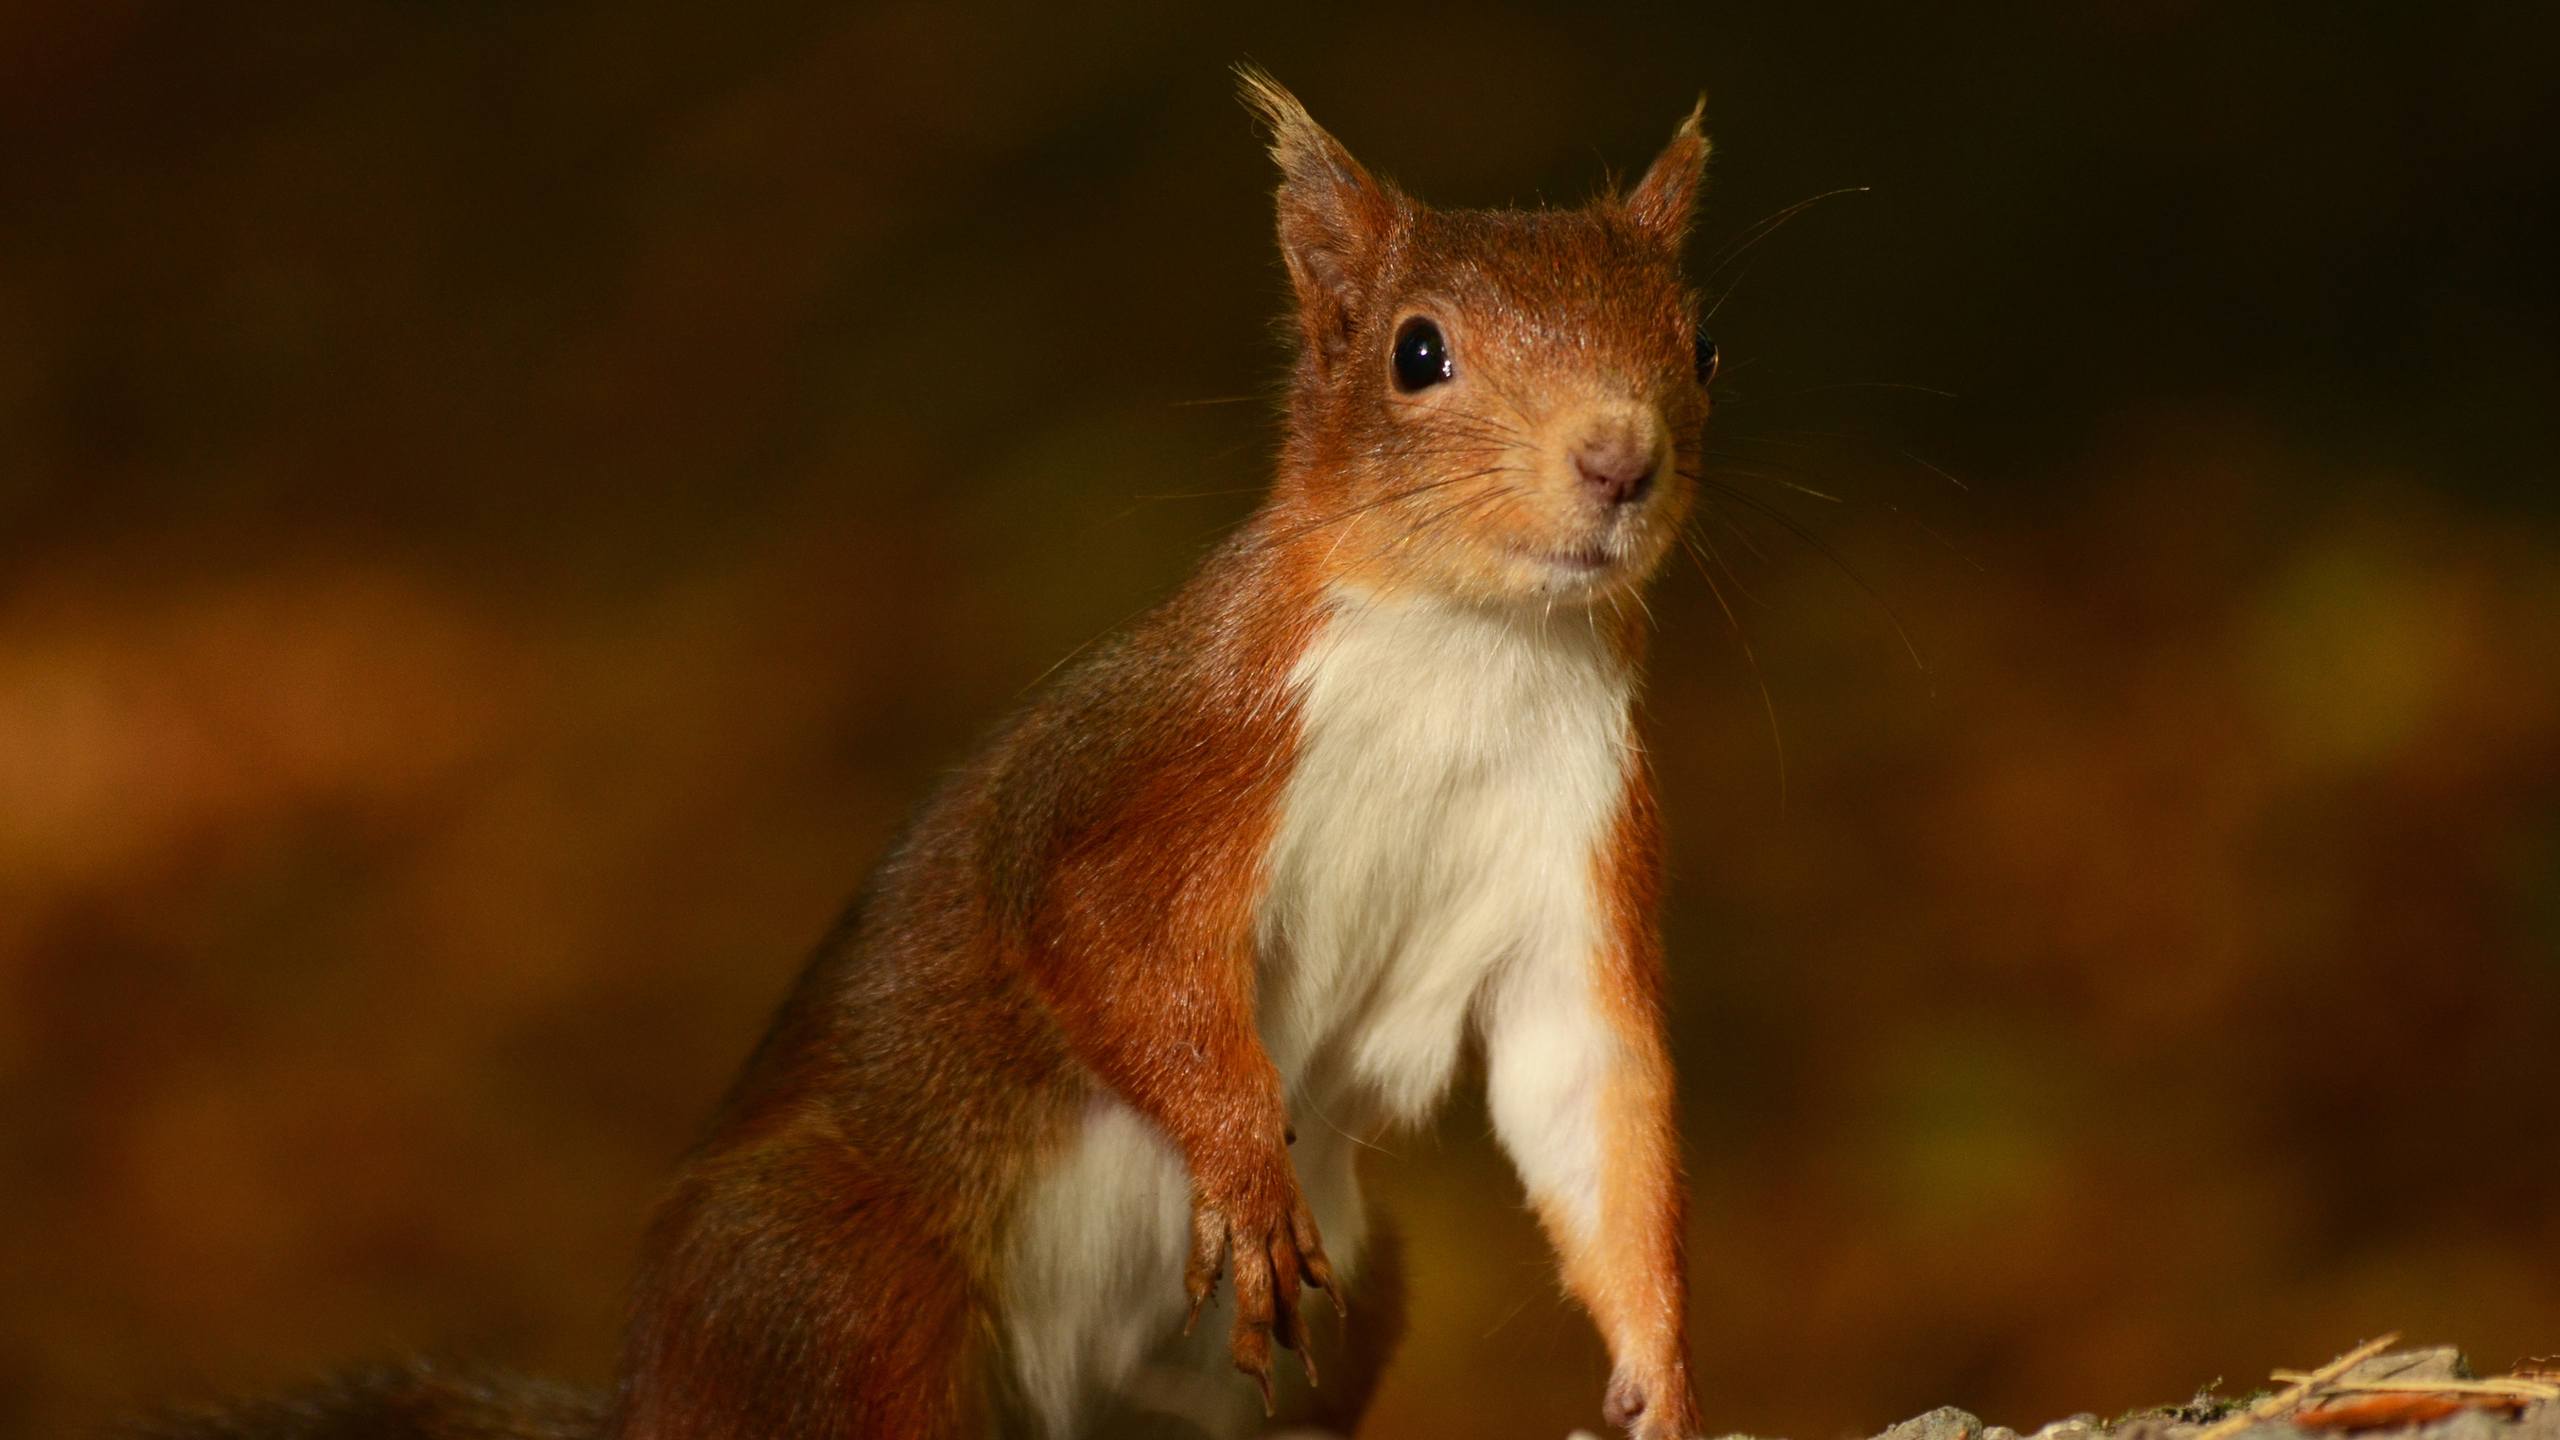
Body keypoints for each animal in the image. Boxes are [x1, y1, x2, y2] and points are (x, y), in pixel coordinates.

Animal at [129, 73, 1720, 1434]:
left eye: (1701, 343)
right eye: (1417, 353)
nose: (1617, 461)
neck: (1474, 648)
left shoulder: (1579, 838)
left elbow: (1583, 1089)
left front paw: (1658, 1373)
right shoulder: (1180, 750)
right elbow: (1092, 929)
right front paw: (1234, 1161)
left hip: (1342, 1303)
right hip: (833, 1289)